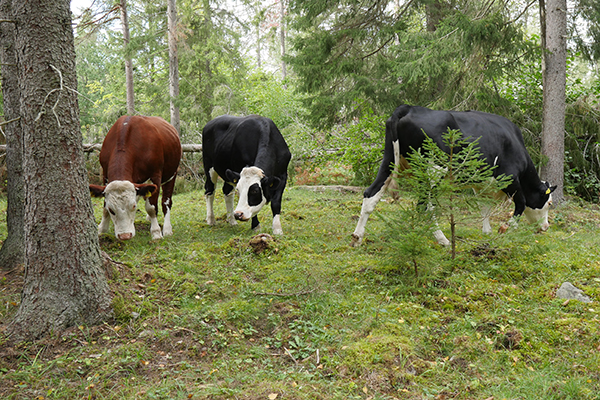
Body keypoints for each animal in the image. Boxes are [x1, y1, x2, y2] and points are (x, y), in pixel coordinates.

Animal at [350, 104, 556, 245]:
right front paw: (505, 228)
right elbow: (521, 203)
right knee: (425, 206)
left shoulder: (481, 183)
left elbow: (484, 207)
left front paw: (487, 231)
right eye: (549, 203)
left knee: (370, 194)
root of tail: (409, 107)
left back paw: (357, 236)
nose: (546, 227)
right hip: (434, 169)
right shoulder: (510, 178)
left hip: (389, 161)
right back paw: (442, 239)